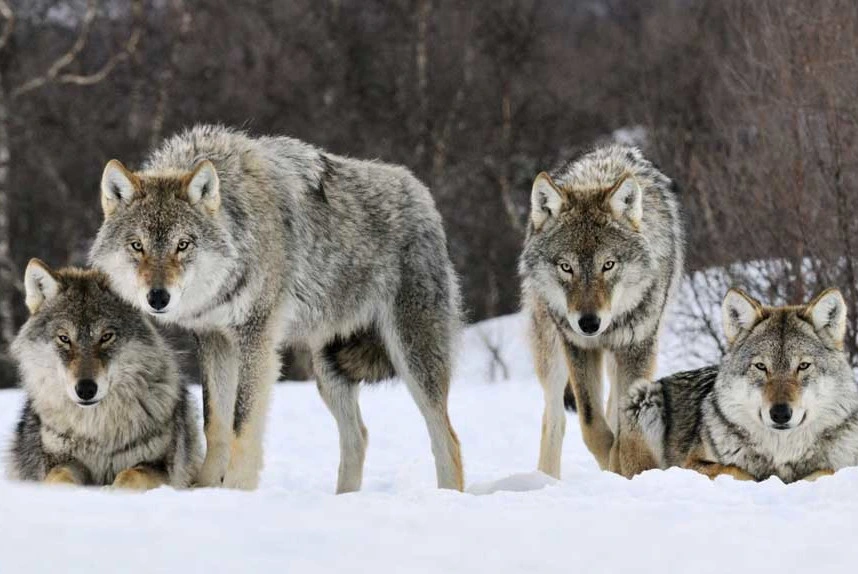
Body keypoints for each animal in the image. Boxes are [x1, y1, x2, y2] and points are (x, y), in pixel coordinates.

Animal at [7, 260, 201, 489]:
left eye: (106, 337)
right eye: (64, 338)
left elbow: (130, 476)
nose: (85, 389)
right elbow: (59, 477)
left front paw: (113, 490)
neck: (97, 431)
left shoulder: (159, 467)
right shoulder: (60, 461)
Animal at [90, 125, 464, 492]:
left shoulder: (256, 338)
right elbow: (215, 423)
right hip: (328, 370)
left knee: (448, 439)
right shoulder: (214, 339)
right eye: (137, 246)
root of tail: (422, 194)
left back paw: (448, 494)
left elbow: (242, 424)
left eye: (183, 245)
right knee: (359, 436)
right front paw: (206, 488)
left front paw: (236, 490)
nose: (158, 298)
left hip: (412, 357)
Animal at [519, 145, 684, 478]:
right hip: (551, 352)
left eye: (608, 265)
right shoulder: (578, 347)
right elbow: (592, 424)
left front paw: (625, 467)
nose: (589, 323)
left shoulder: (638, 347)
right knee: (554, 418)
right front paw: (612, 462)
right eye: (566, 267)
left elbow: (625, 424)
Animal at [626, 288, 858, 483]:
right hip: (642, 396)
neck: (781, 453)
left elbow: (826, 470)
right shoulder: (690, 464)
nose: (780, 413)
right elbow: (736, 470)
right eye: (761, 366)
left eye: (803, 366)